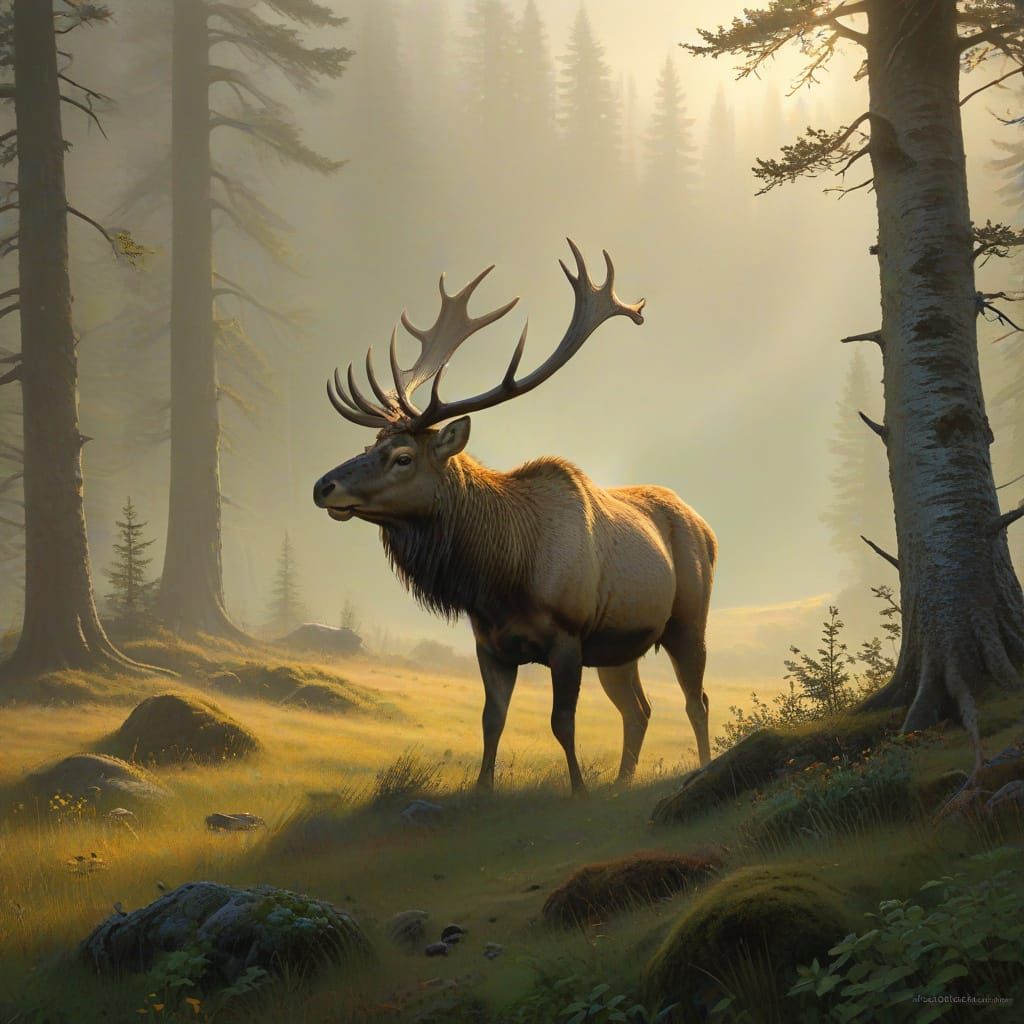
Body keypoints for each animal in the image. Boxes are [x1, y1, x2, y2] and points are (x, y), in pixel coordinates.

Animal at [313, 241, 717, 795]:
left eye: (402, 457)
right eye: (368, 445)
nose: (322, 486)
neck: (501, 578)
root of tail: (708, 530)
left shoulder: (567, 636)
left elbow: (561, 722)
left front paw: (578, 791)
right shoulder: (490, 644)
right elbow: (491, 720)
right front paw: (483, 791)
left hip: (688, 619)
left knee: (695, 701)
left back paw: (700, 768)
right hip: (620, 645)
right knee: (639, 709)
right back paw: (621, 781)